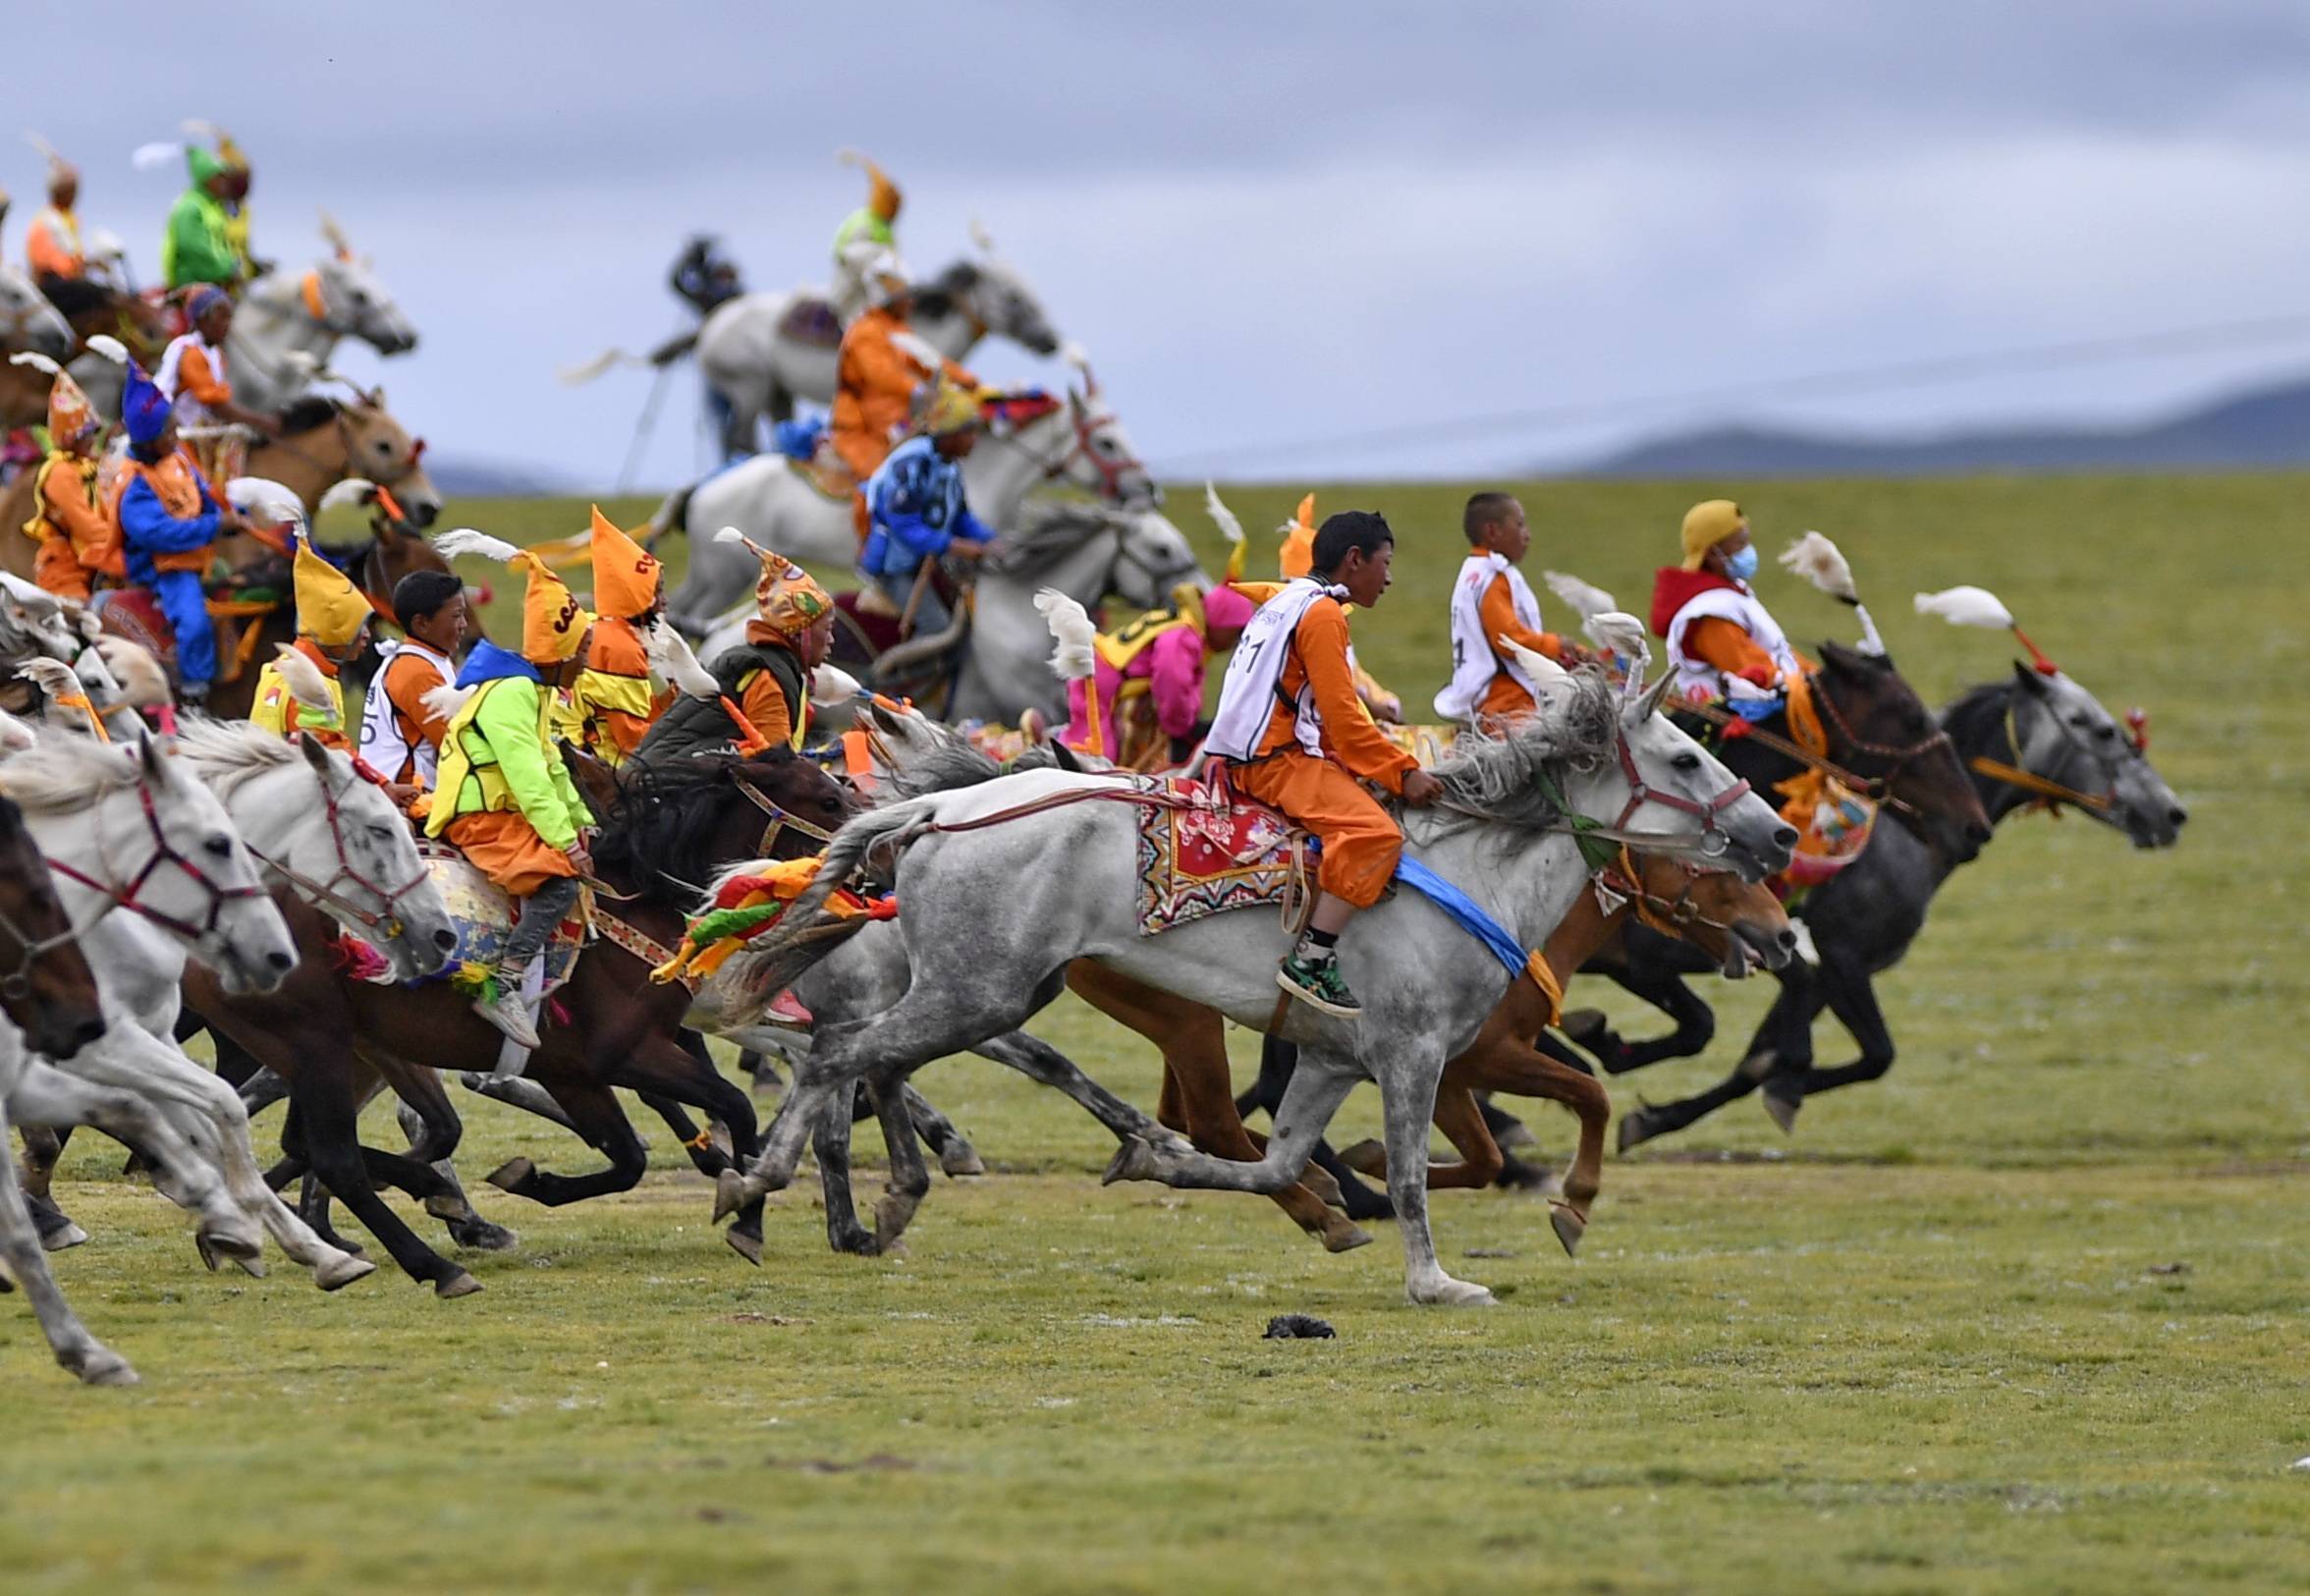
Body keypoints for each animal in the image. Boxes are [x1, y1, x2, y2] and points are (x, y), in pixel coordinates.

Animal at [187, 752, 858, 1302]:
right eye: (828, 799)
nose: (872, 851)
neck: (631, 900)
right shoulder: (631, 1054)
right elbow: (734, 1108)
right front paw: (746, 1216)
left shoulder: (573, 1073)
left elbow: (627, 1160)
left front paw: (532, 1179)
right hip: (315, 1044)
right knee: (334, 1157)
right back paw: (432, 1264)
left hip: (341, 1051)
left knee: (316, 1144)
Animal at [720, 669, 1801, 1302]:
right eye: (1685, 756)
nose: (1783, 835)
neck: (1475, 871)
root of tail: (941, 807)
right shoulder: (1418, 1054)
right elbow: (1411, 1172)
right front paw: (1438, 1278)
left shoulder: (1333, 1058)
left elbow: (1274, 1163)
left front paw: (1164, 1165)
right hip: (976, 993)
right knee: (840, 1054)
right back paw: (764, 1184)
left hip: (982, 993)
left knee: (861, 1060)